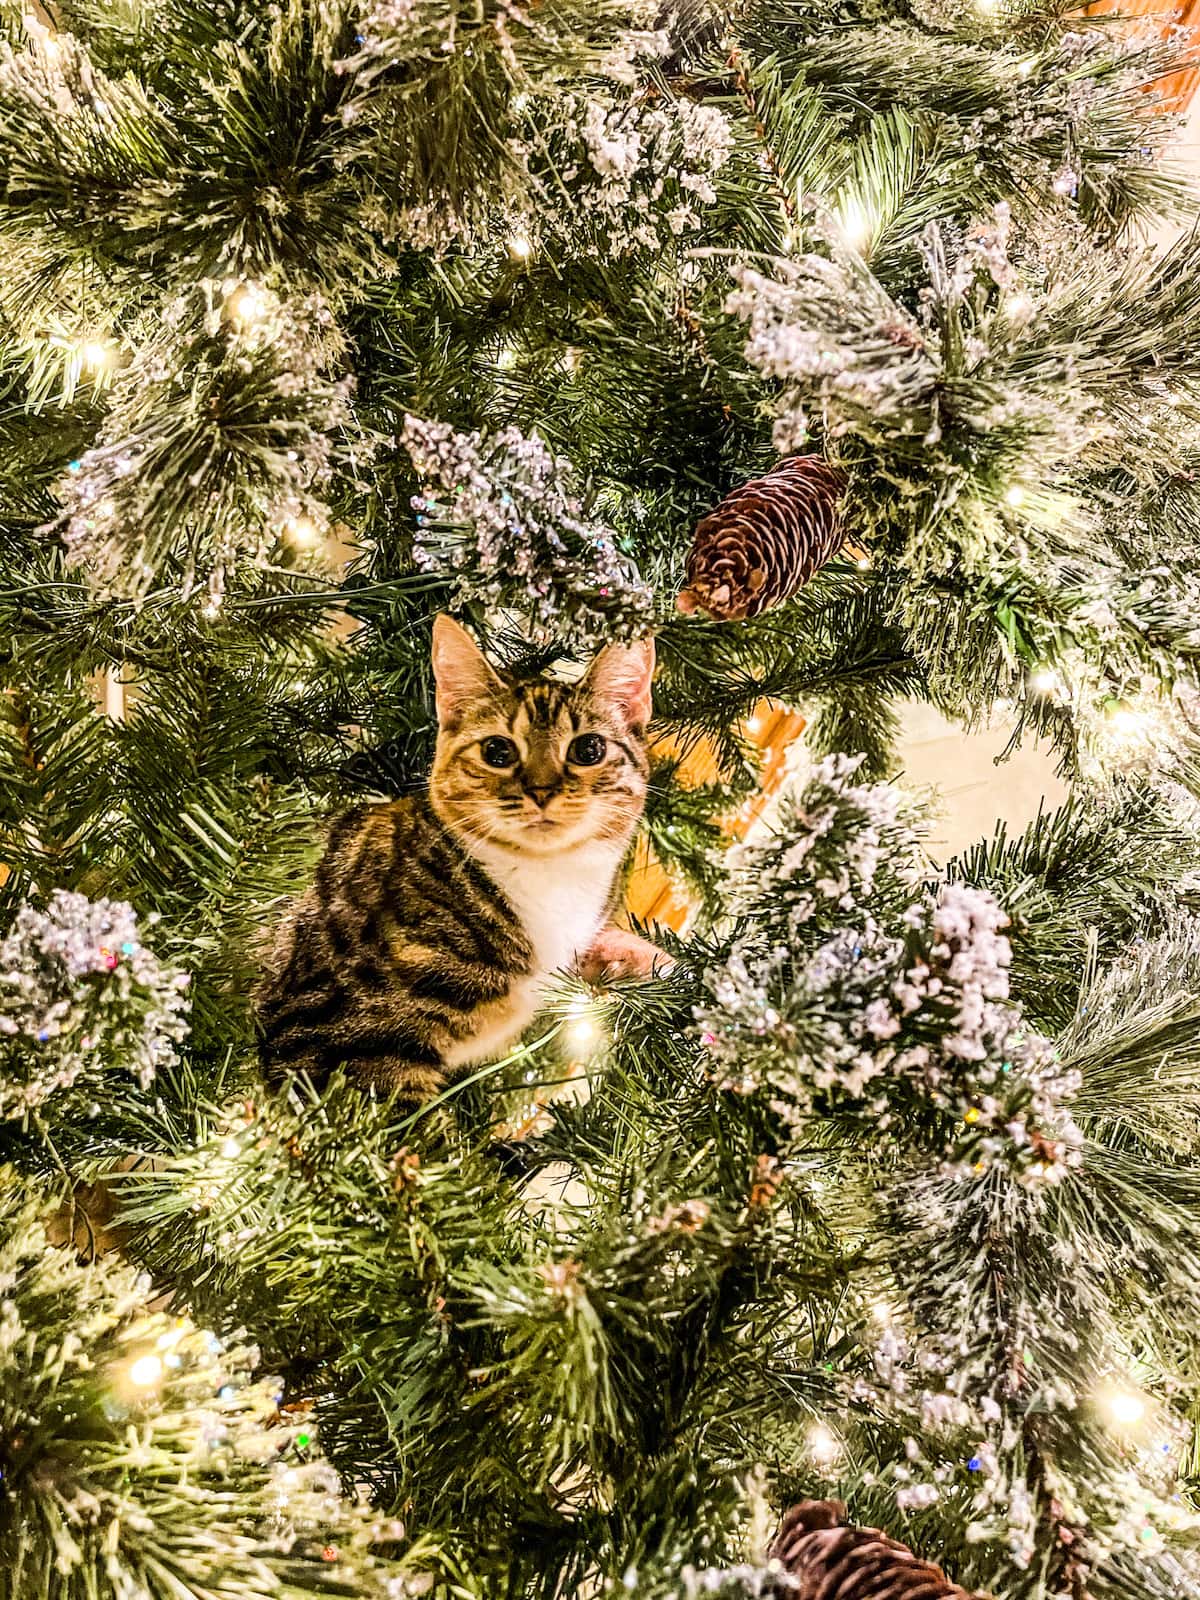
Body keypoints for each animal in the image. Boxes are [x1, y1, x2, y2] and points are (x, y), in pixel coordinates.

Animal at [256, 617, 668, 1107]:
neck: (545, 880)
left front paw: (648, 960)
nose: (542, 789)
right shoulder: (325, 1034)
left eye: (588, 750)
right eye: (497, 751)